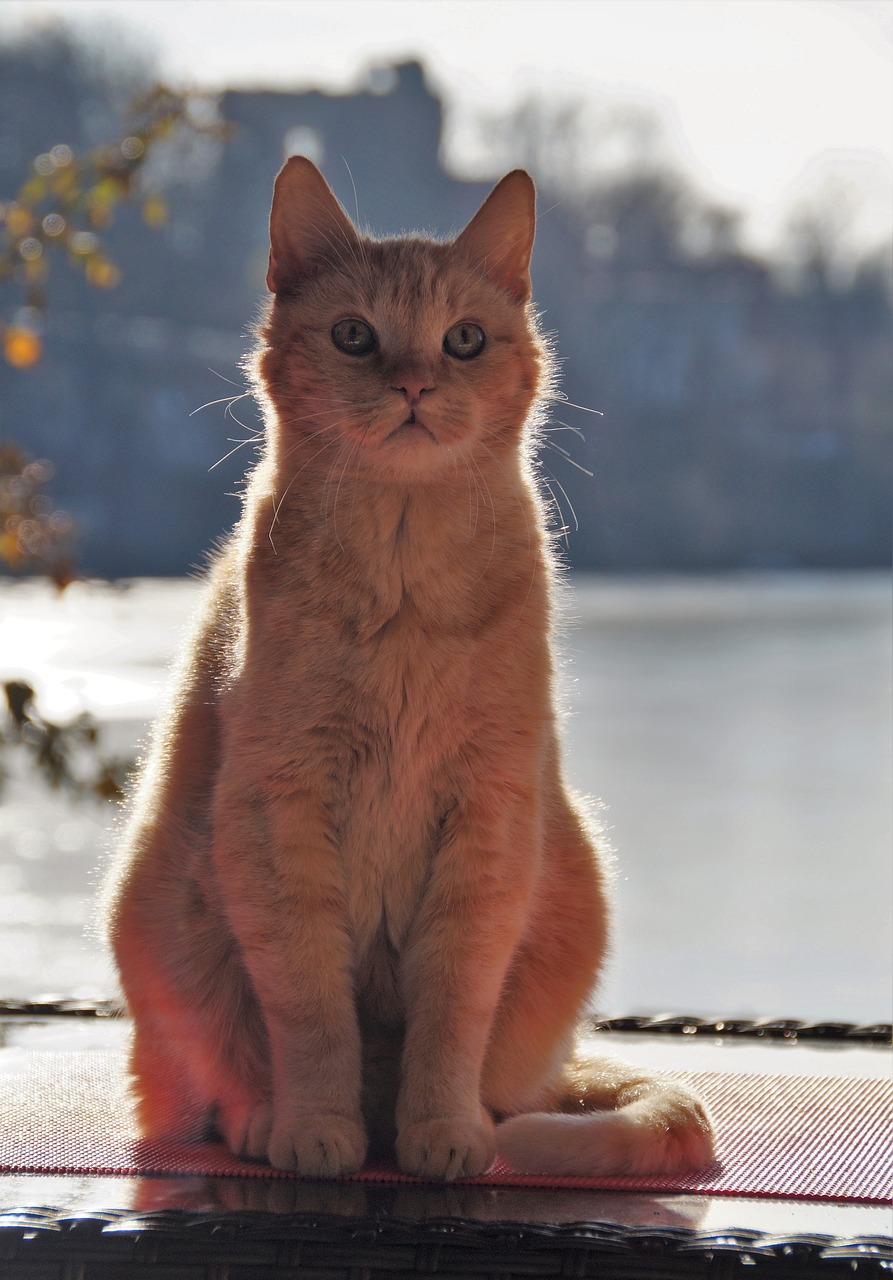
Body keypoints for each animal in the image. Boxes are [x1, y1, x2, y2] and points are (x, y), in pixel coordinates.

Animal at [104, 157, 711, 1177]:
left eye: (463, 340)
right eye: (355, 336)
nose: (417, 384)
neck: (402, 582)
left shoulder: (487, 821)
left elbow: (451, 1012)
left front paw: (442, 1133)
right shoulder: (279, 813)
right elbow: (311, 1013)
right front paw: (317, 1127)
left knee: (504, 1087)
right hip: (158, 912)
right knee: (212, 1091)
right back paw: (267, 1120)